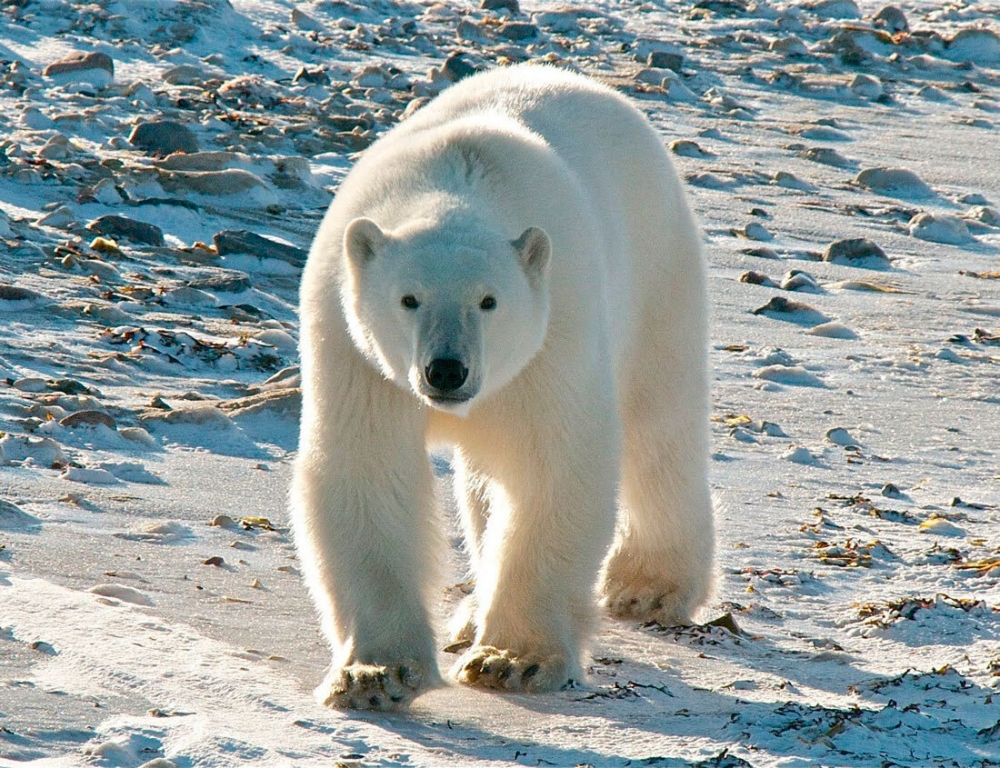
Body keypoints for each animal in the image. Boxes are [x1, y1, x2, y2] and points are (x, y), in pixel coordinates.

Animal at [292, 63, 716, 712]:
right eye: (408, 298)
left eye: (489, 301)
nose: (446, 370)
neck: (458, 178)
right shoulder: (354, 350)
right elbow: (367, 468)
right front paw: (375, 673)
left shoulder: (555, 332)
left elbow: (552, 466)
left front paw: (512, 660)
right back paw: (471, 611)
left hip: (657, 269)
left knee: (658, 426)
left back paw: (650, 583)